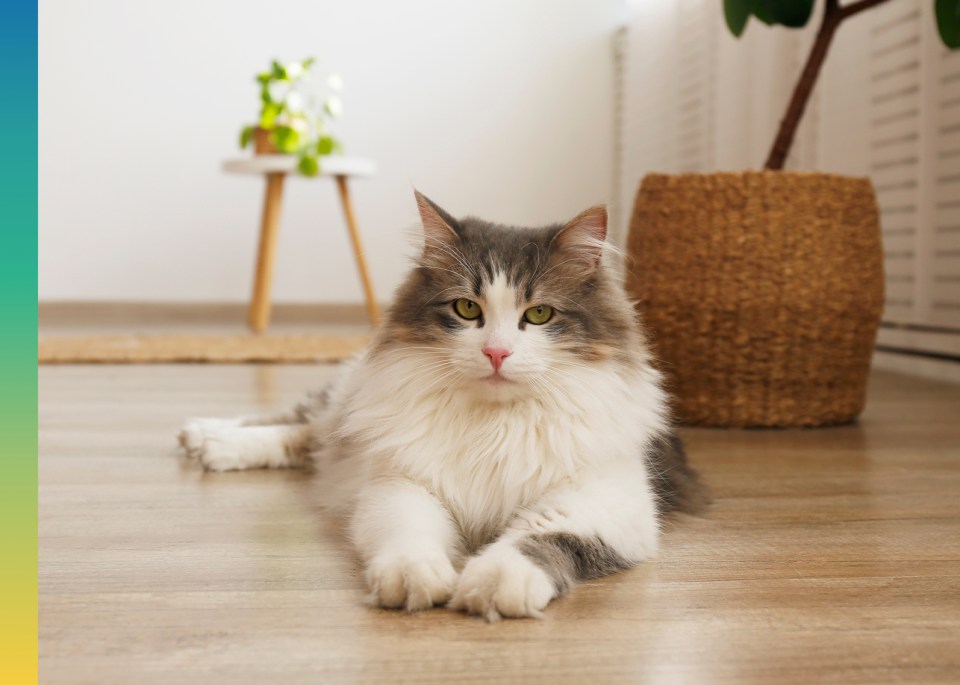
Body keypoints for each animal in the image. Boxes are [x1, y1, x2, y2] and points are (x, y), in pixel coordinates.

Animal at [180, 191, 704, 620]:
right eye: (467, 309)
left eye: (538, 314)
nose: (496, 353)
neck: (496, 423)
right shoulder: (402, 484)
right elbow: (409, 535)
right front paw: (413, 578)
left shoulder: (605, 504)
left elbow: (538, 539)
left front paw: (496, 582)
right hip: (355, 408)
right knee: (306, 426)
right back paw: (208, 438)